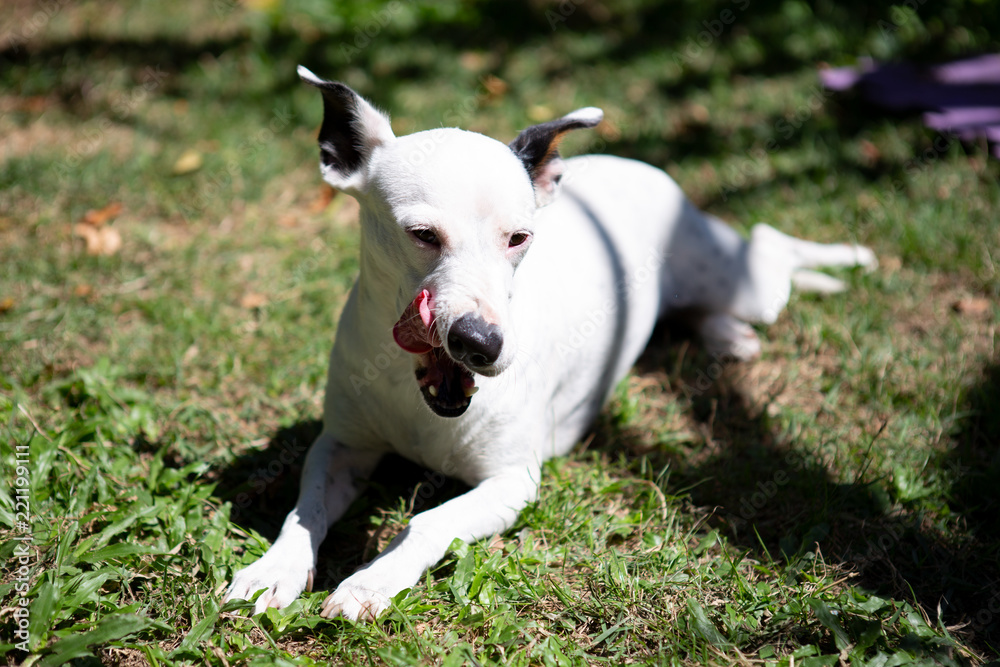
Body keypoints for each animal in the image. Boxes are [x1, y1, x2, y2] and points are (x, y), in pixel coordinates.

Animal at [225, 66, 876, 620]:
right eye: (422, 235)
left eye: (520, 238)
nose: (481, 343)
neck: (415, 394)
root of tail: (635, 163)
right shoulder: (340, 446)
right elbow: (304, 509)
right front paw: (274, 569)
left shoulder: (512, 483)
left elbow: (426, 522)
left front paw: (371, 582)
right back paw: (727, 333)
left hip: (742, 280)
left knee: (769, 243)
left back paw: (848, 258)